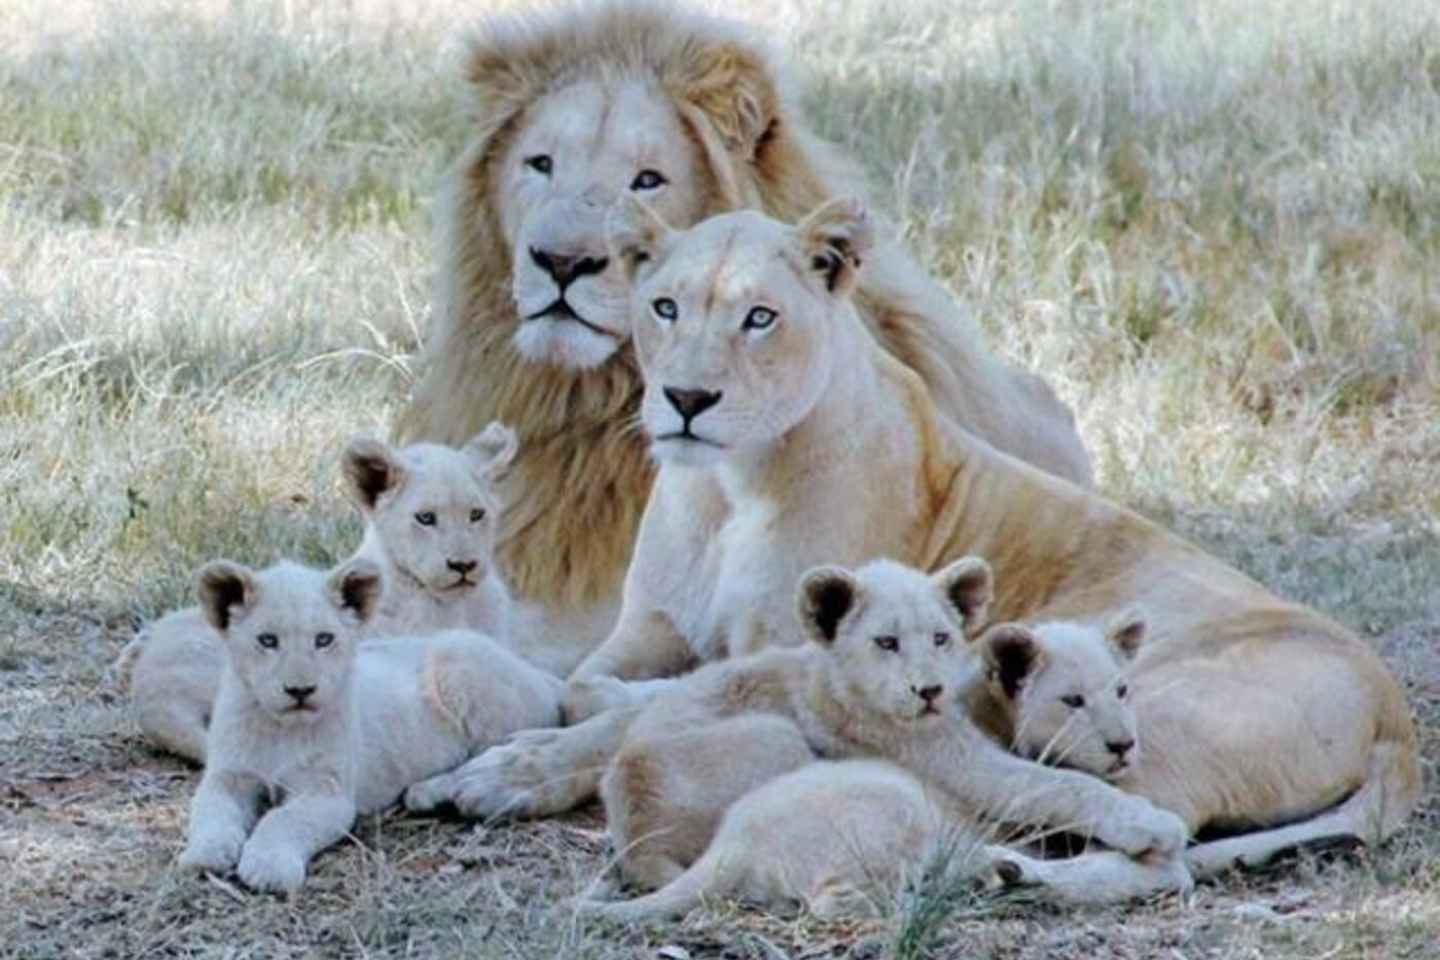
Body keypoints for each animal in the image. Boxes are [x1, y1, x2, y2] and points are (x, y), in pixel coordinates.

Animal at [178, 557, 560, 894]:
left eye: (324, 639)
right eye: (267, 640)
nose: (300, 691)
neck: (280, 729)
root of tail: (538, 674)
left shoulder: (328, 793)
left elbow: (282, 820)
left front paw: (268, 868)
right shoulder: (228, 776)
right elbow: (209, 810)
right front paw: (203, 854)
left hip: (459, 656)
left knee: (491, 752)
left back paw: (428, 792)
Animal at [406, 199, 1419, 877]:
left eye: (760, 317)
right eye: (665, 307)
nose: (688, 399)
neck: (728, 488)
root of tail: (1396, 714)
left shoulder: (794, 658)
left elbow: (614, 718)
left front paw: (503, 773)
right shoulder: (641, 633)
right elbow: (587, 687)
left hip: (1135, 726)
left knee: (1117, 832)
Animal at [579, 559, 1192, 921]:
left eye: (1122, 691)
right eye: (1072, 701)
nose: (1124, 746)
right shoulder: (958, 762)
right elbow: (1054, 785)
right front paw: (1153, 825)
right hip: (797, 748)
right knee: (837, 899)